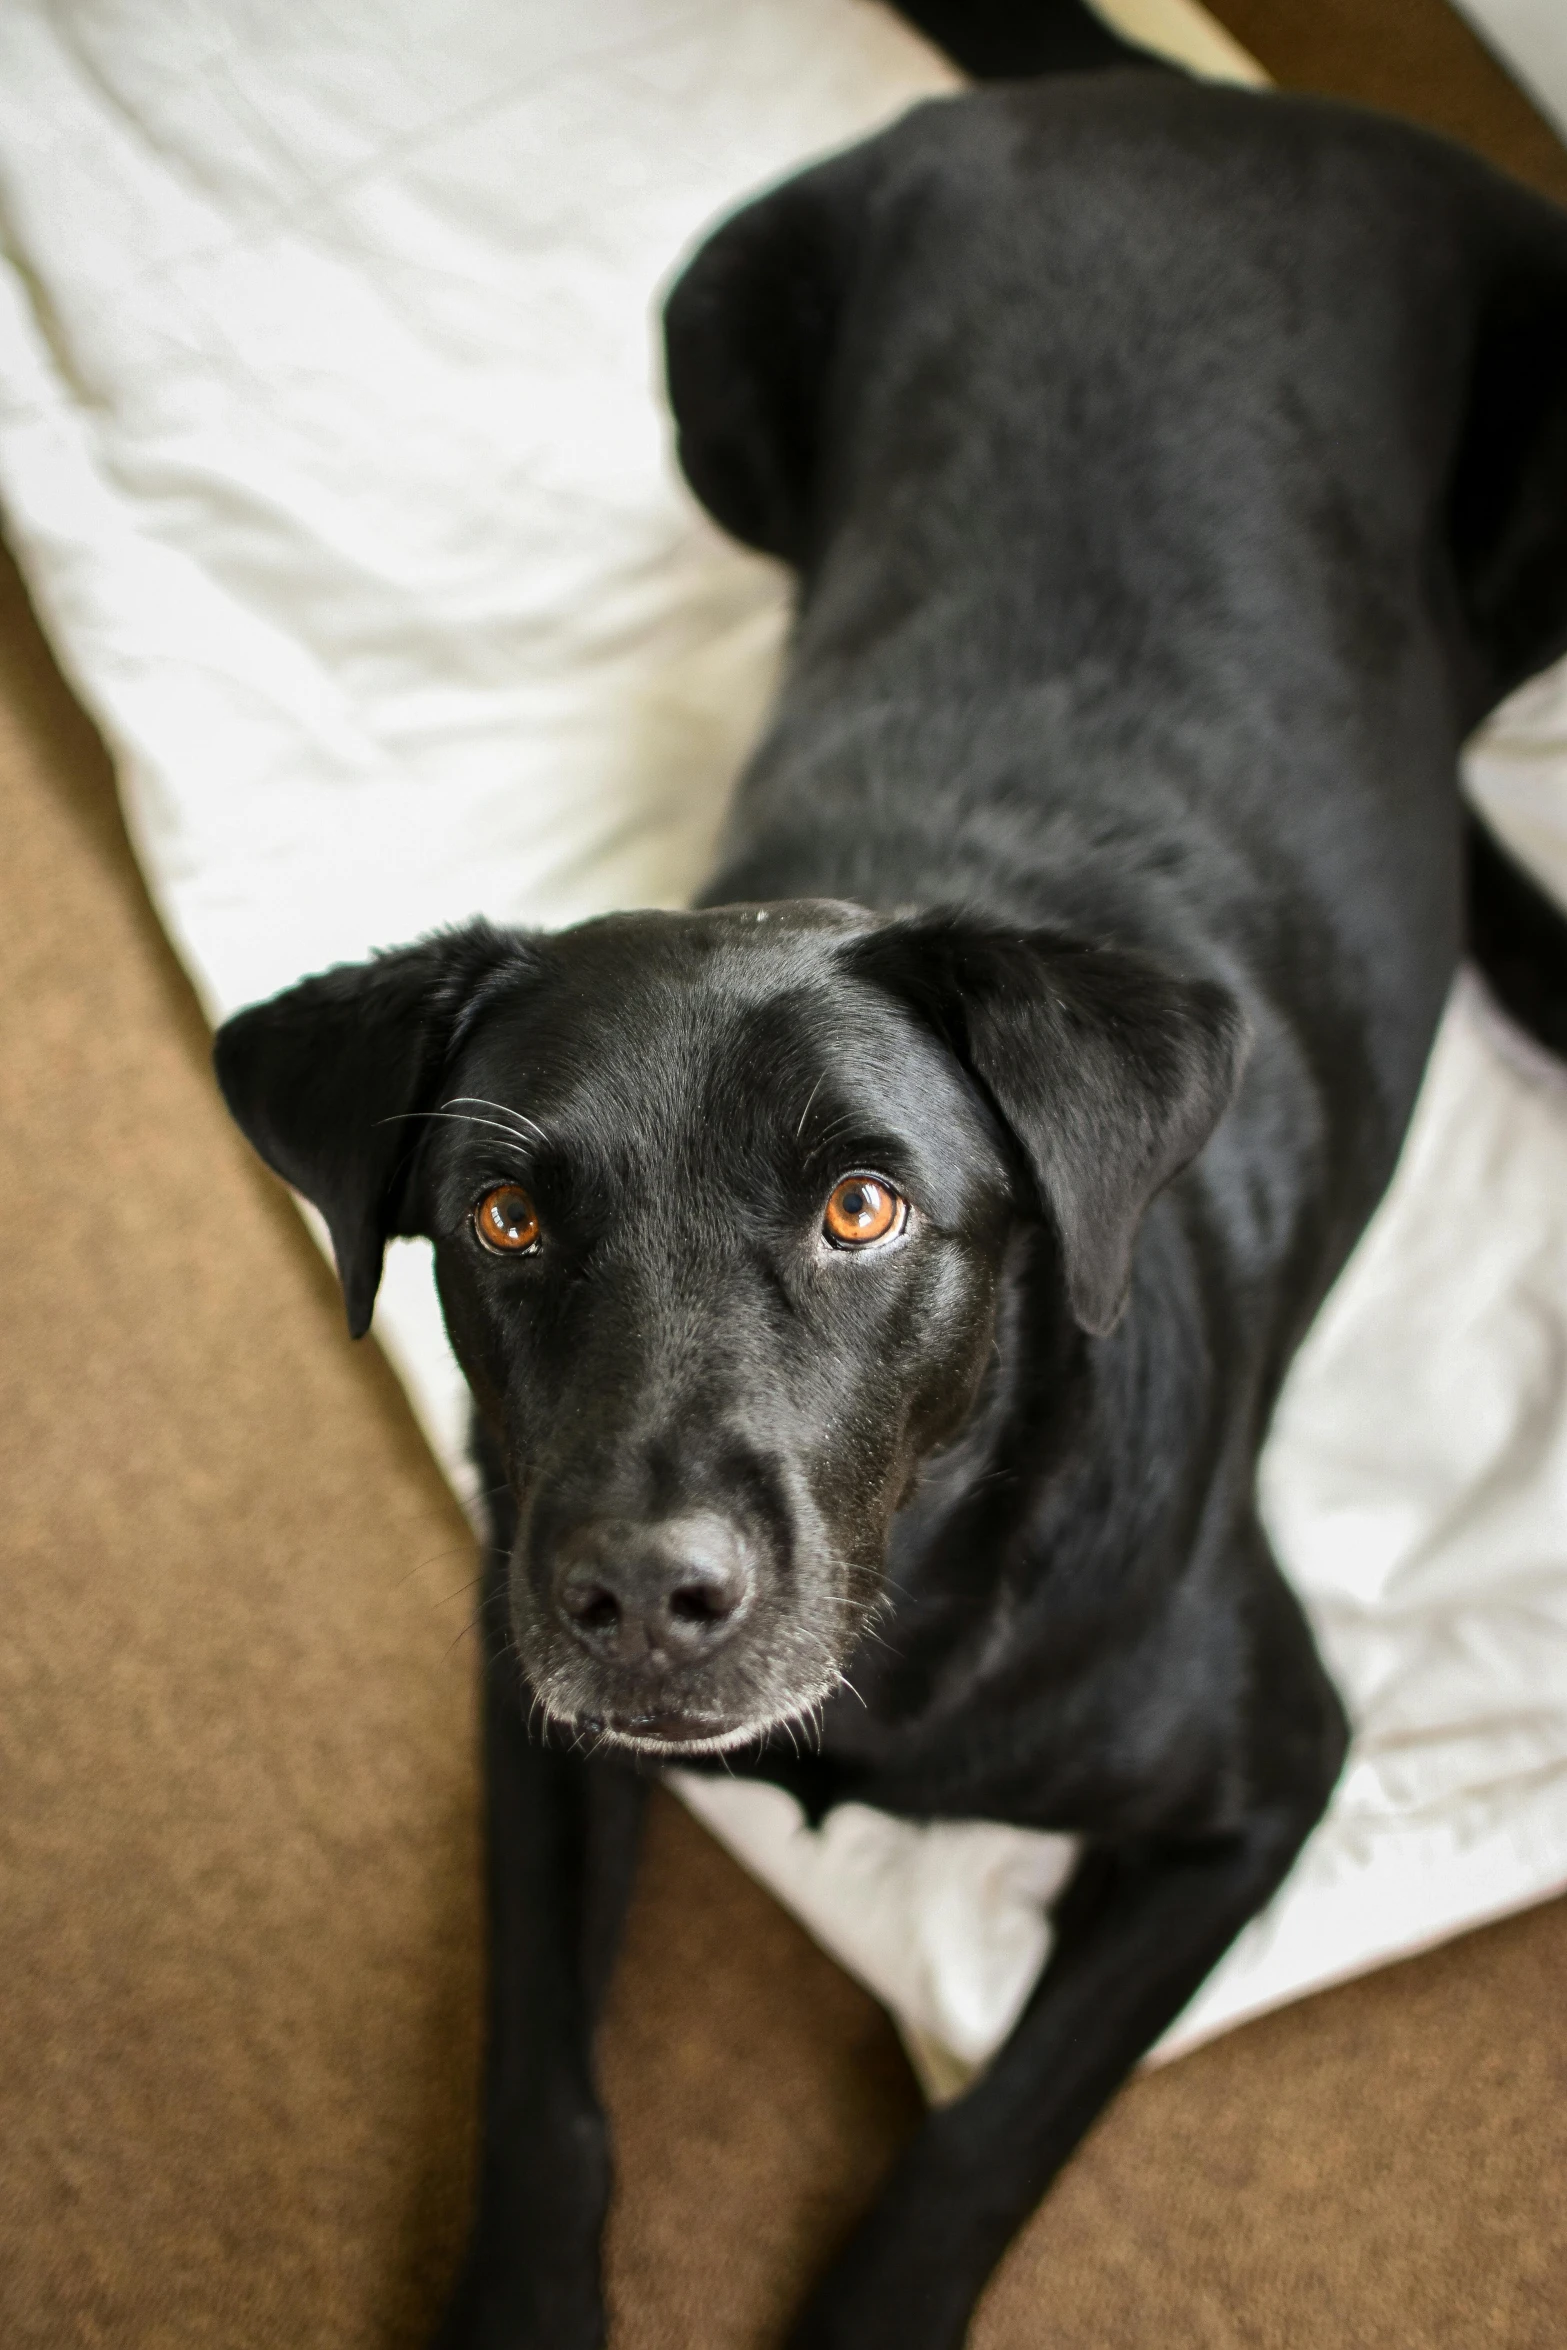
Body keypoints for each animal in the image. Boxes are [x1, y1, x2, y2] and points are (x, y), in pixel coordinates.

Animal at [214, 32, 1567, 2350]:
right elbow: (541, 2081)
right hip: (712, 338)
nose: (643, 1593)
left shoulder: (1267, 1775)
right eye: (502, 1223)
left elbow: (984, 2138)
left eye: (864, 1210)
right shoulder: (525, 1689)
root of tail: (1178, 94)